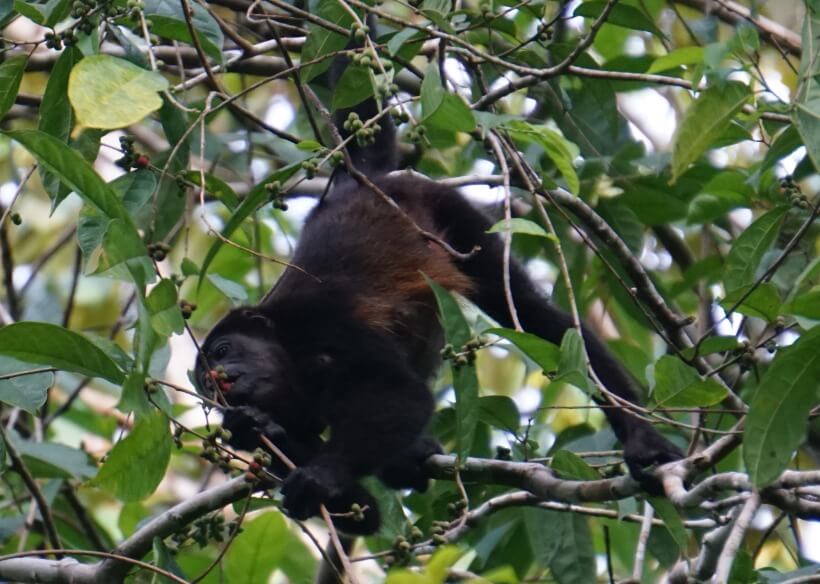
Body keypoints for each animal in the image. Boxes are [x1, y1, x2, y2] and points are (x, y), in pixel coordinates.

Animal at [192, 29, 680, 536]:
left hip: (449, 211)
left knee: (532, 313)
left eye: (223, 351)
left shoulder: (317, 321)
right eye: (204, 384)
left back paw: (641, 438)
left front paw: (318, 474)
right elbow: (361, 511)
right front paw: (253, 430)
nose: (220, 381)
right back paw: (410, 459)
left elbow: (402, 394)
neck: (288, 356)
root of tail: (363, 182)